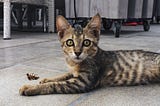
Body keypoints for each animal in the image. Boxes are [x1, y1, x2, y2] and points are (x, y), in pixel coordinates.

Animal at [19, 13, 160, 96]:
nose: (77, 52)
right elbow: (64, 75)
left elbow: (56, 85)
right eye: (70, 42)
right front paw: (47, 79)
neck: (75, 63)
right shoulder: (74, 73)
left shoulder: (82, 82)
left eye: (86, 42)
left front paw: (30, 88)